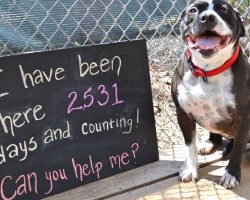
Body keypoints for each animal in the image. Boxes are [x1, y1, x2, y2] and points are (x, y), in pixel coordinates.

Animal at [171, 0, 249, 188]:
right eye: (193, 10)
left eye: (224, 10)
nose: (207, 17)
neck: (208, 70)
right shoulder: (183, 113)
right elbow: (189, 144)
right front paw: (190, 168)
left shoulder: (243, 117)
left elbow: (238, 148)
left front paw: (231, 174)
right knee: (216, 137)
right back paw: (208, 144)